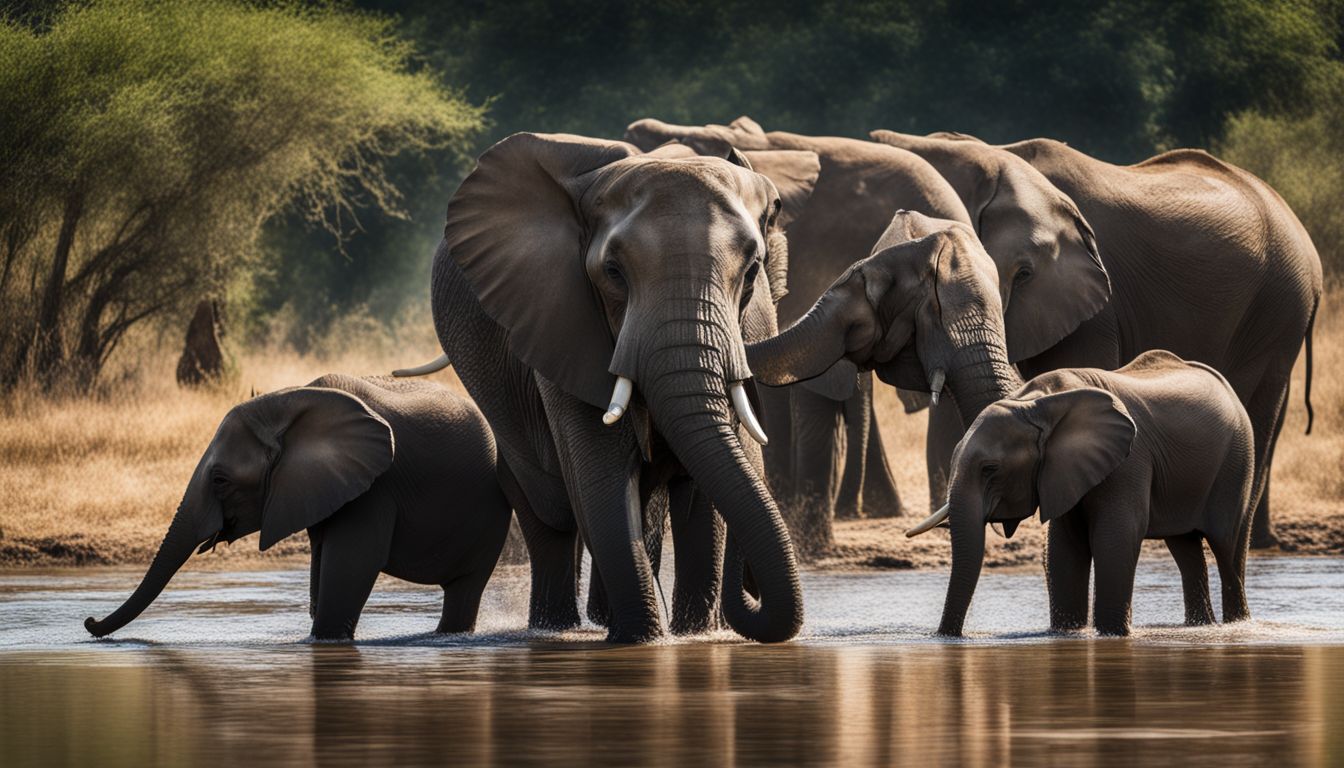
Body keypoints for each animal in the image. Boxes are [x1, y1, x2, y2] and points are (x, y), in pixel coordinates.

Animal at [84, 376, 510, 640]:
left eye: (220, 480)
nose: (89, 621)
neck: (289, 403)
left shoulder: (374, 489)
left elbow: (350, 571)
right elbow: (322, 573)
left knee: (465, 587)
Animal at [419, 132, 806, 642]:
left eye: (751, 270)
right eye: (614, 273)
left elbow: (701, 495)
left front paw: (695, 637)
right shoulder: (561, 322)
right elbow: (600, 478)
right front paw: (641, 639)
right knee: (550, 511)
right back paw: (557, 628)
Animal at [908, 349, 1252, 637]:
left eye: (990, 468)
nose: (948, 637)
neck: (1039, 403)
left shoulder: (1129, 461)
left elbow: (1115, 538)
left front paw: (1112, 634)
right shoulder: (1062, 471)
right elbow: (1064, 547)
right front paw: (1068, 632)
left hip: (1238, 461)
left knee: (1228, 550)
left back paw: (1238, 626)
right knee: (1185, 548)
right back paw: (1202, 627)